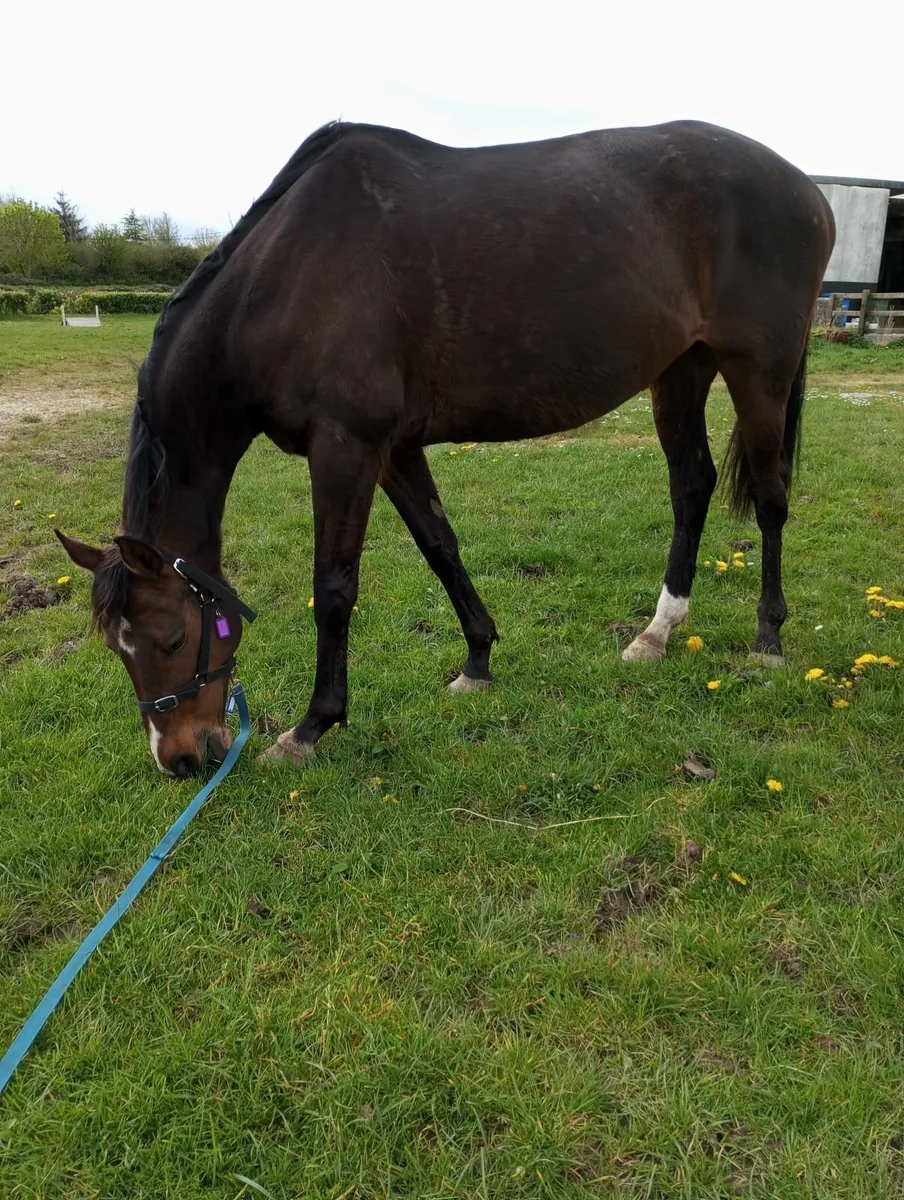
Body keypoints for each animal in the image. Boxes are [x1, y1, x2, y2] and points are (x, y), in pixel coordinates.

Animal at [57, 118, 835, 777]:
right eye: (116, 648)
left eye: (169, 639)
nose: (182, 760)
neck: (285, 277)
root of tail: (807, 191)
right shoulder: (394, 449)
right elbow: (440, 546)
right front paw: (479, 659)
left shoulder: (346, 447)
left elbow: (333, 588)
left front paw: (311, 727)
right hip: (680, 371)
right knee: (691, 486)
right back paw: (657, 633)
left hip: (758, 371)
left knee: (771, 495)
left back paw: (768, 639)